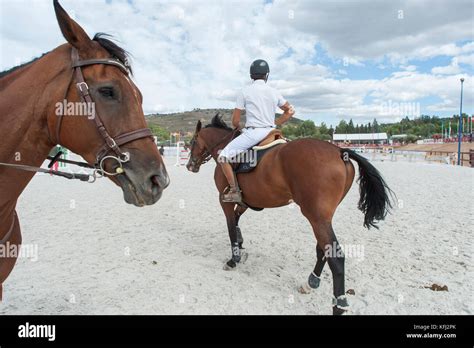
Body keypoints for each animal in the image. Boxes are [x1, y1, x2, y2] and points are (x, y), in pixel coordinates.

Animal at [186, 115, 392, 316]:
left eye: (192, 141)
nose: (190, 165)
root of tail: (340, 152)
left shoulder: (225, 201)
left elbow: (230, 227)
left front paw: (233, 259)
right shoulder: (249, 202)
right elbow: (237, 221)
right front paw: (241, 243)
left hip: (315, 217)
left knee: (336, 257)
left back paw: (338, 305)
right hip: (322, 218)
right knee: (323, 249)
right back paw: (311, 282)